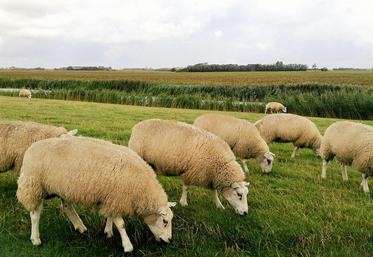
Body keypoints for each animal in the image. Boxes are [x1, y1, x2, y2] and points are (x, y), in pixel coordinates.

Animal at [16, 136, 176, 252]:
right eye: (165, 221)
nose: (169, 240)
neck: (142, 187)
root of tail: (32, 147)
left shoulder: (111, 197)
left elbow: (110, 216)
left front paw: (108, 232)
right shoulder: (116, 197)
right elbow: (121, 224)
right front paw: (128, 246)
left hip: (62, 187)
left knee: (67, 206)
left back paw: (80, 227)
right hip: (35, 186)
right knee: (35, 214)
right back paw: (35, 239)